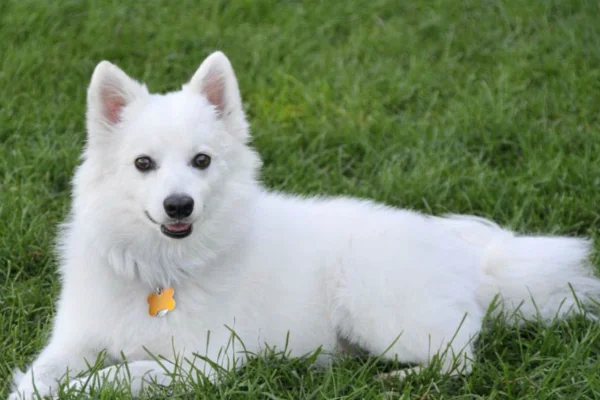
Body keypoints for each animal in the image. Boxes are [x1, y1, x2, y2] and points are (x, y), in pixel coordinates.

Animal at [8, 51, 600, 398]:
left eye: (201, 161)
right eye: (143, 164)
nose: (179, 206)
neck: (161, 270)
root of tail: (472, 262)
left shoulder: (200, 361)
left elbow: (109, 376)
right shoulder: (72, 340)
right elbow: (41, 374)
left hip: (376, 310)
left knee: (458, 361)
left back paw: (397, 378)